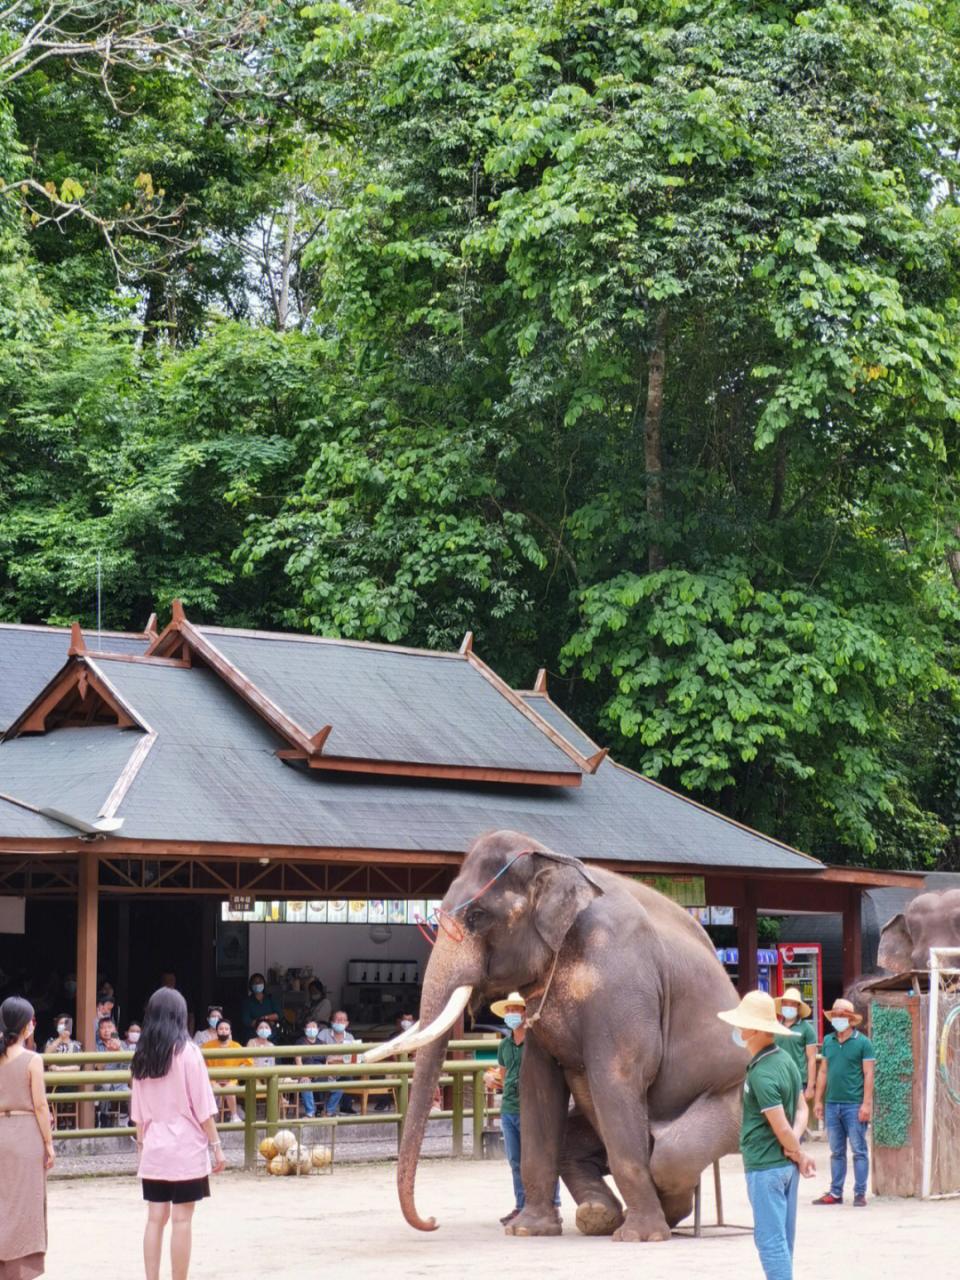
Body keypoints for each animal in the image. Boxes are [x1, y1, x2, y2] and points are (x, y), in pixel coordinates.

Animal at [363, 829, 747, 1239]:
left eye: (477, 916)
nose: (432, 1221)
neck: (555, 859)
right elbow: (538, 1083)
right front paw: (528, 1230)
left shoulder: (621, 978)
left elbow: (619, 1076)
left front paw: (640, 1237)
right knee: (580, 1146)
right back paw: (601, 1216)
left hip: (735, 1096)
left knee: (671, 1155)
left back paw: (657, 1215)